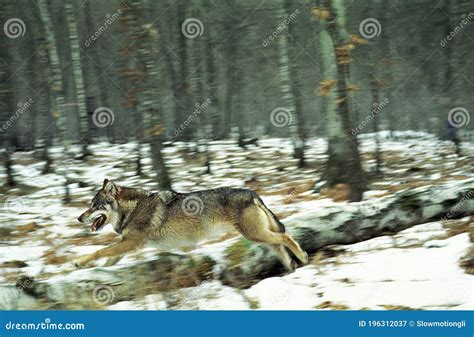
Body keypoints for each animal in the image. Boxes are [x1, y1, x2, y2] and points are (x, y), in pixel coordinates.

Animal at [74, 178, 310, 270]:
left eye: (94, 206)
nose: (79, 218)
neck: (132, 209)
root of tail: (252, 193)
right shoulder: (128, 244)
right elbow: (107, 259)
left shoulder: (132, 242)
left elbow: (99, 251)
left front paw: (79, 262)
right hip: (260, 236)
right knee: (280, 245)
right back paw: (292, 267)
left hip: (255, 235)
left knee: (286, 237)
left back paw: (303, 256)